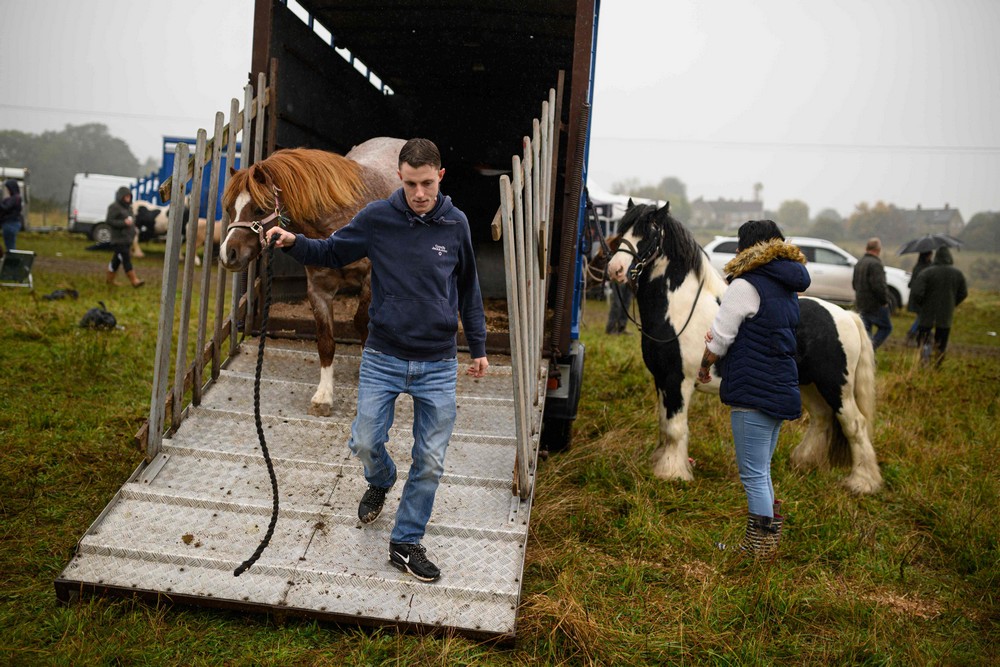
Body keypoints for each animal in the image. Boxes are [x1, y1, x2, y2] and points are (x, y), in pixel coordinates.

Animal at [221, 136, 404, 418]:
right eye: (231, 208)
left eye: (259, 209)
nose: (228, 253)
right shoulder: (318, 289)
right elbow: (326, 342)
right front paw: (324, 396)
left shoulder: (371, 280)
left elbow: (363, 321)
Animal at [608, 204, 884, 496]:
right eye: (622, 228)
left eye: (648, 232)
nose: (615, 269)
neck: (678, 309)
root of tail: (847, 316)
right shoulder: (661, 380)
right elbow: (663, 423)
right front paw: (663, 463)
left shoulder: (677, 381)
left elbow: (674, 427)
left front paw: (672, 474)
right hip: (810, 384)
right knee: (822, 418)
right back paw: (804, 462)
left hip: (836, 386)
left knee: (855, 425)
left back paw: (863, 482)